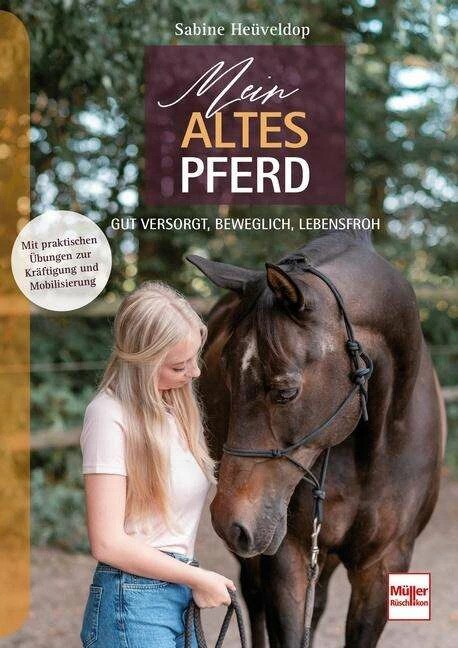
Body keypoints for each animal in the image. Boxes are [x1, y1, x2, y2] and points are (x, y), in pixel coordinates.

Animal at [187, 229, 446, 648]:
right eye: (225, 374)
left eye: (286, 391)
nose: (229, 522)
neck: (372, 448)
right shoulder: (287, 557)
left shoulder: (382, 566)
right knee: (253, 598)